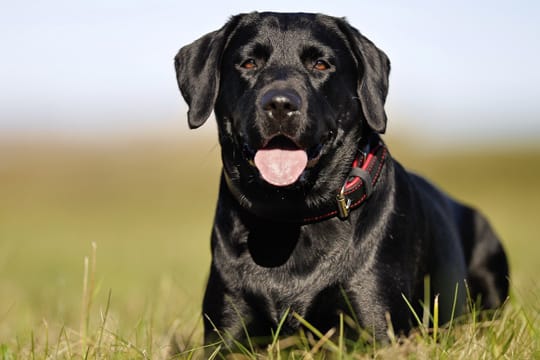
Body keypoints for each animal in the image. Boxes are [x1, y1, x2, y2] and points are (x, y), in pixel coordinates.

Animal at [174, 11, 510, 346]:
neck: (290, 216)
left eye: (321, 65)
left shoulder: (377, 325)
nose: (280, 104)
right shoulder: (226, 331)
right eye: (248, 63)